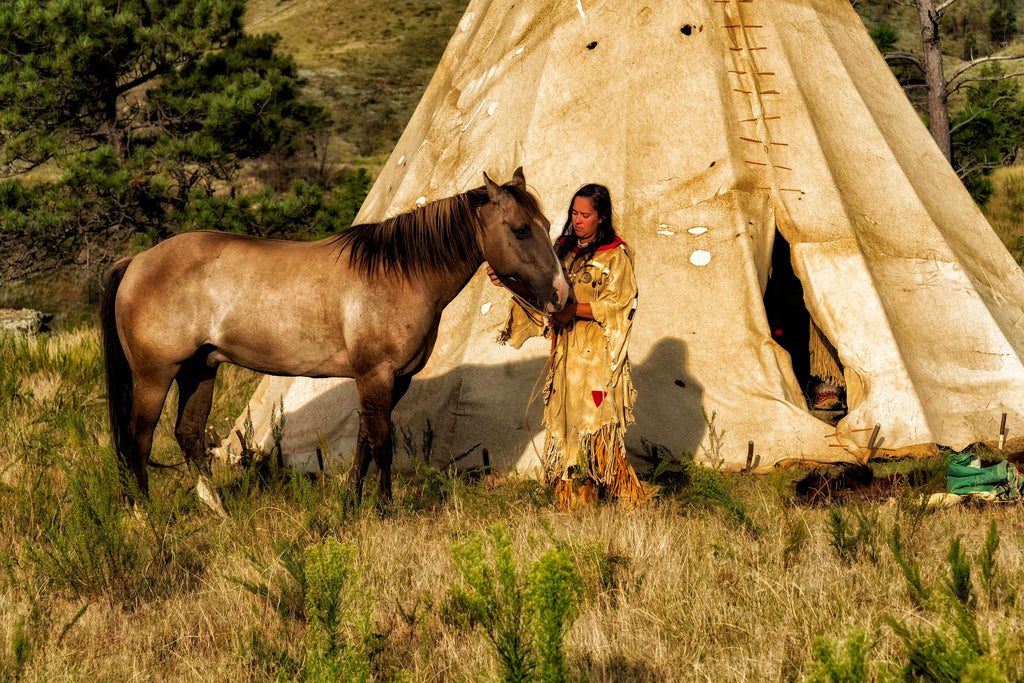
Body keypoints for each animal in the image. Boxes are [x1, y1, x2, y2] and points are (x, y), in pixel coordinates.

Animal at [102, 167, 570, 509]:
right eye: (520, 230)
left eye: (548, 223)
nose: (562, 294)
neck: (400, 274)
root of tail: (136, 261)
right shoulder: (376, 375)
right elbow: (382, 443)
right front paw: (383, 508)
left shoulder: (390, 380)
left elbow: (364, 440)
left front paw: (351, 504)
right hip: (156, 376)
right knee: (138, 438)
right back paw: (144, 515)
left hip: (200, 370)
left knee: (189, 435)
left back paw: (217, 510)